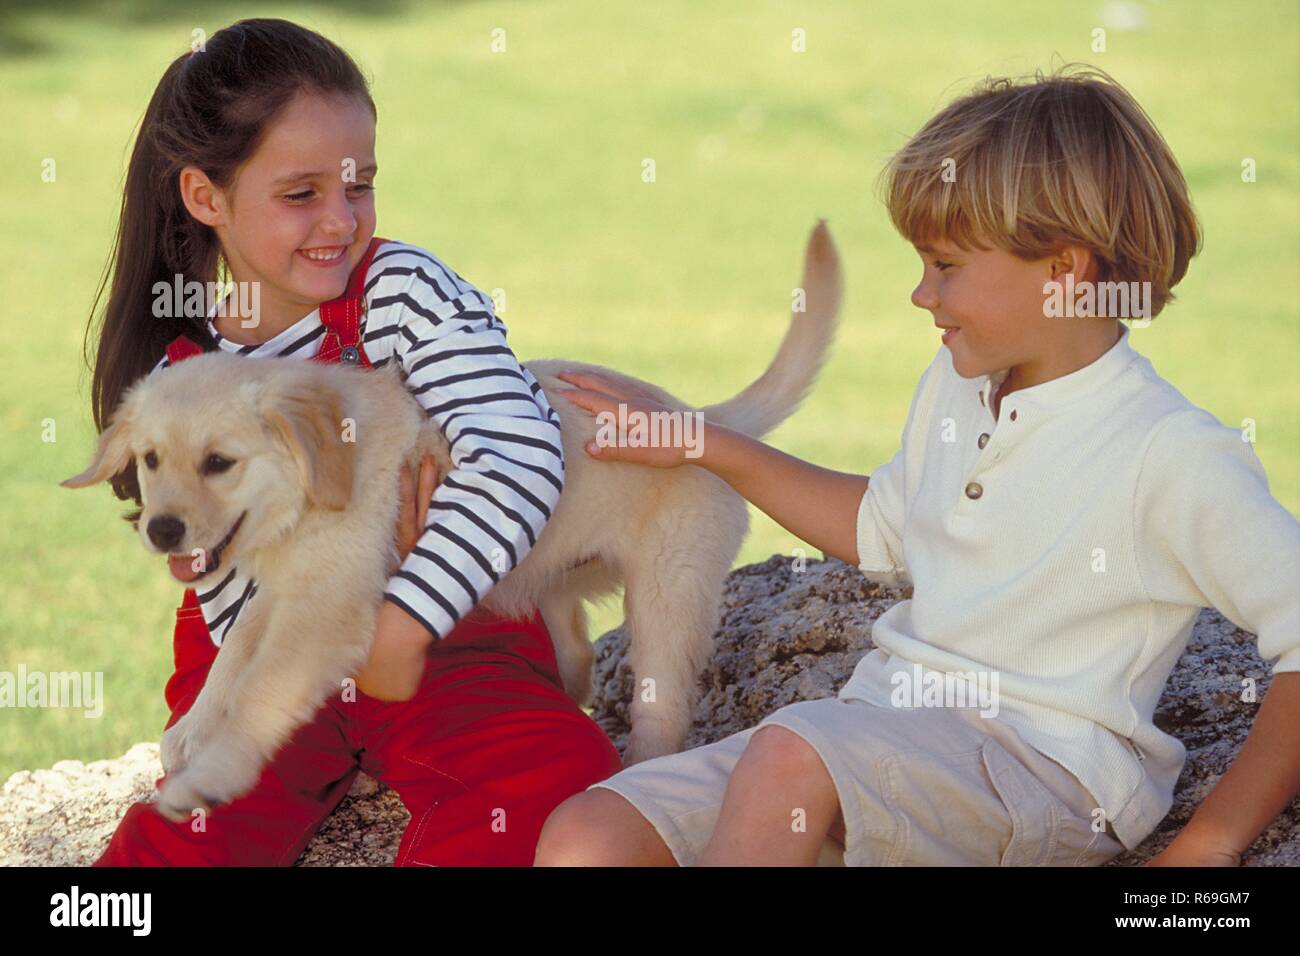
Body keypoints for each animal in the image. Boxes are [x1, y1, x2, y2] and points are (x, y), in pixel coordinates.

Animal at [65, 221, 842, 816]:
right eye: (150, 460)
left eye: (219, 463)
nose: (161, 531)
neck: (310, 490)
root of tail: (700, 420)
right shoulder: (289, 586)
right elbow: (235, 654)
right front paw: (194, 729)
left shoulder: (326, 606)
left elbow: (260, 691)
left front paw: (209, 777)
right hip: (556, 580)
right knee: (578, 654)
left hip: (668, 598)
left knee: (661, 710)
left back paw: (634, 774)